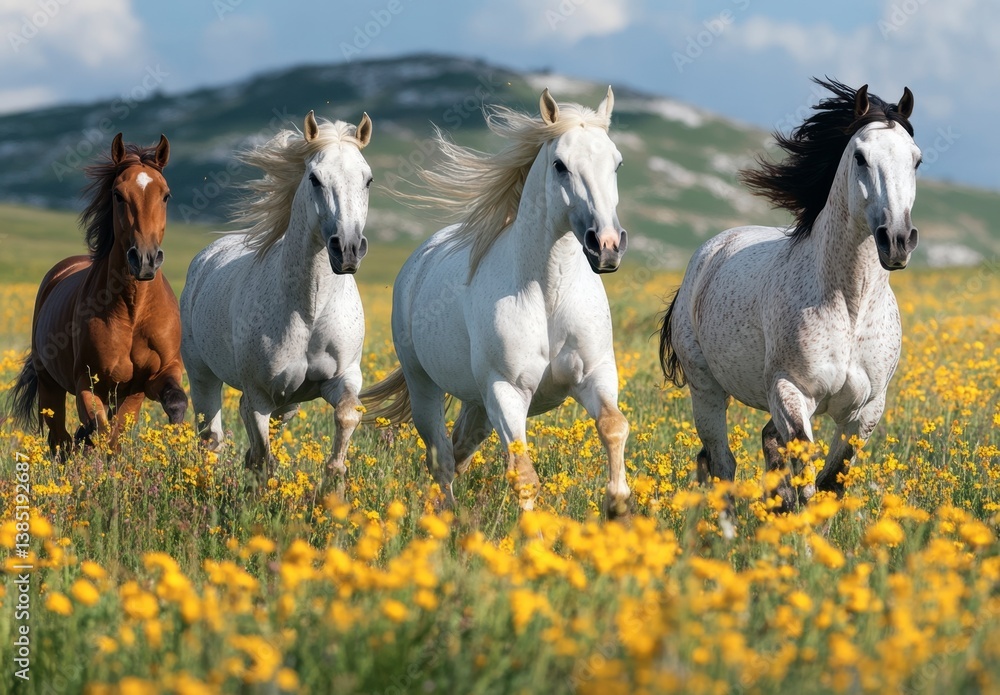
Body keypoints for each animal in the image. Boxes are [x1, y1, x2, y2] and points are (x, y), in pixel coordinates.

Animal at [9, 133, 187, 454]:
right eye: (118, 194)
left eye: (165, 195)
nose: (144, 259)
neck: (133, 310)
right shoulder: (88, 382)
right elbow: (102, 430)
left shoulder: (155, 376)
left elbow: (175, 402)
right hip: (50, 385)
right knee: (61, 439)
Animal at [180, 110, 373, 493]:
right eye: (314, 178)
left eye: (368, 179)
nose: (347, 249)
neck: (309, 310)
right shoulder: (260, 394)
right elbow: (263, 459)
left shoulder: (342, 377)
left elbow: (346, 416)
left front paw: (334, 486)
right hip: (202, 375)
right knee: (211, 437)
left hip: (289, 402)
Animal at [361, 88, 631, 518]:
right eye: (560, 165)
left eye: (617, 163)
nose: (605, 245)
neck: (548, 294)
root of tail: (420, 258)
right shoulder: (506, 392)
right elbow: (523, 474)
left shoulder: (596, 374)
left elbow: (613, 426)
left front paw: (618, 506)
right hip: (427, 387)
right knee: (441, 459)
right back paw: (448, 519)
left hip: (476, 402)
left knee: (459, 450)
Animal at [659, 79, 920, 516]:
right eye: (861, 157)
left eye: (916, 160)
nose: (897, 240)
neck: (849, 306)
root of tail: (709, 252)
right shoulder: (791, 391)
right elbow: (807, 472)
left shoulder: (866, 410)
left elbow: (831, 482)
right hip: (706, 390)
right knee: (722, 463)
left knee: (765, 443)